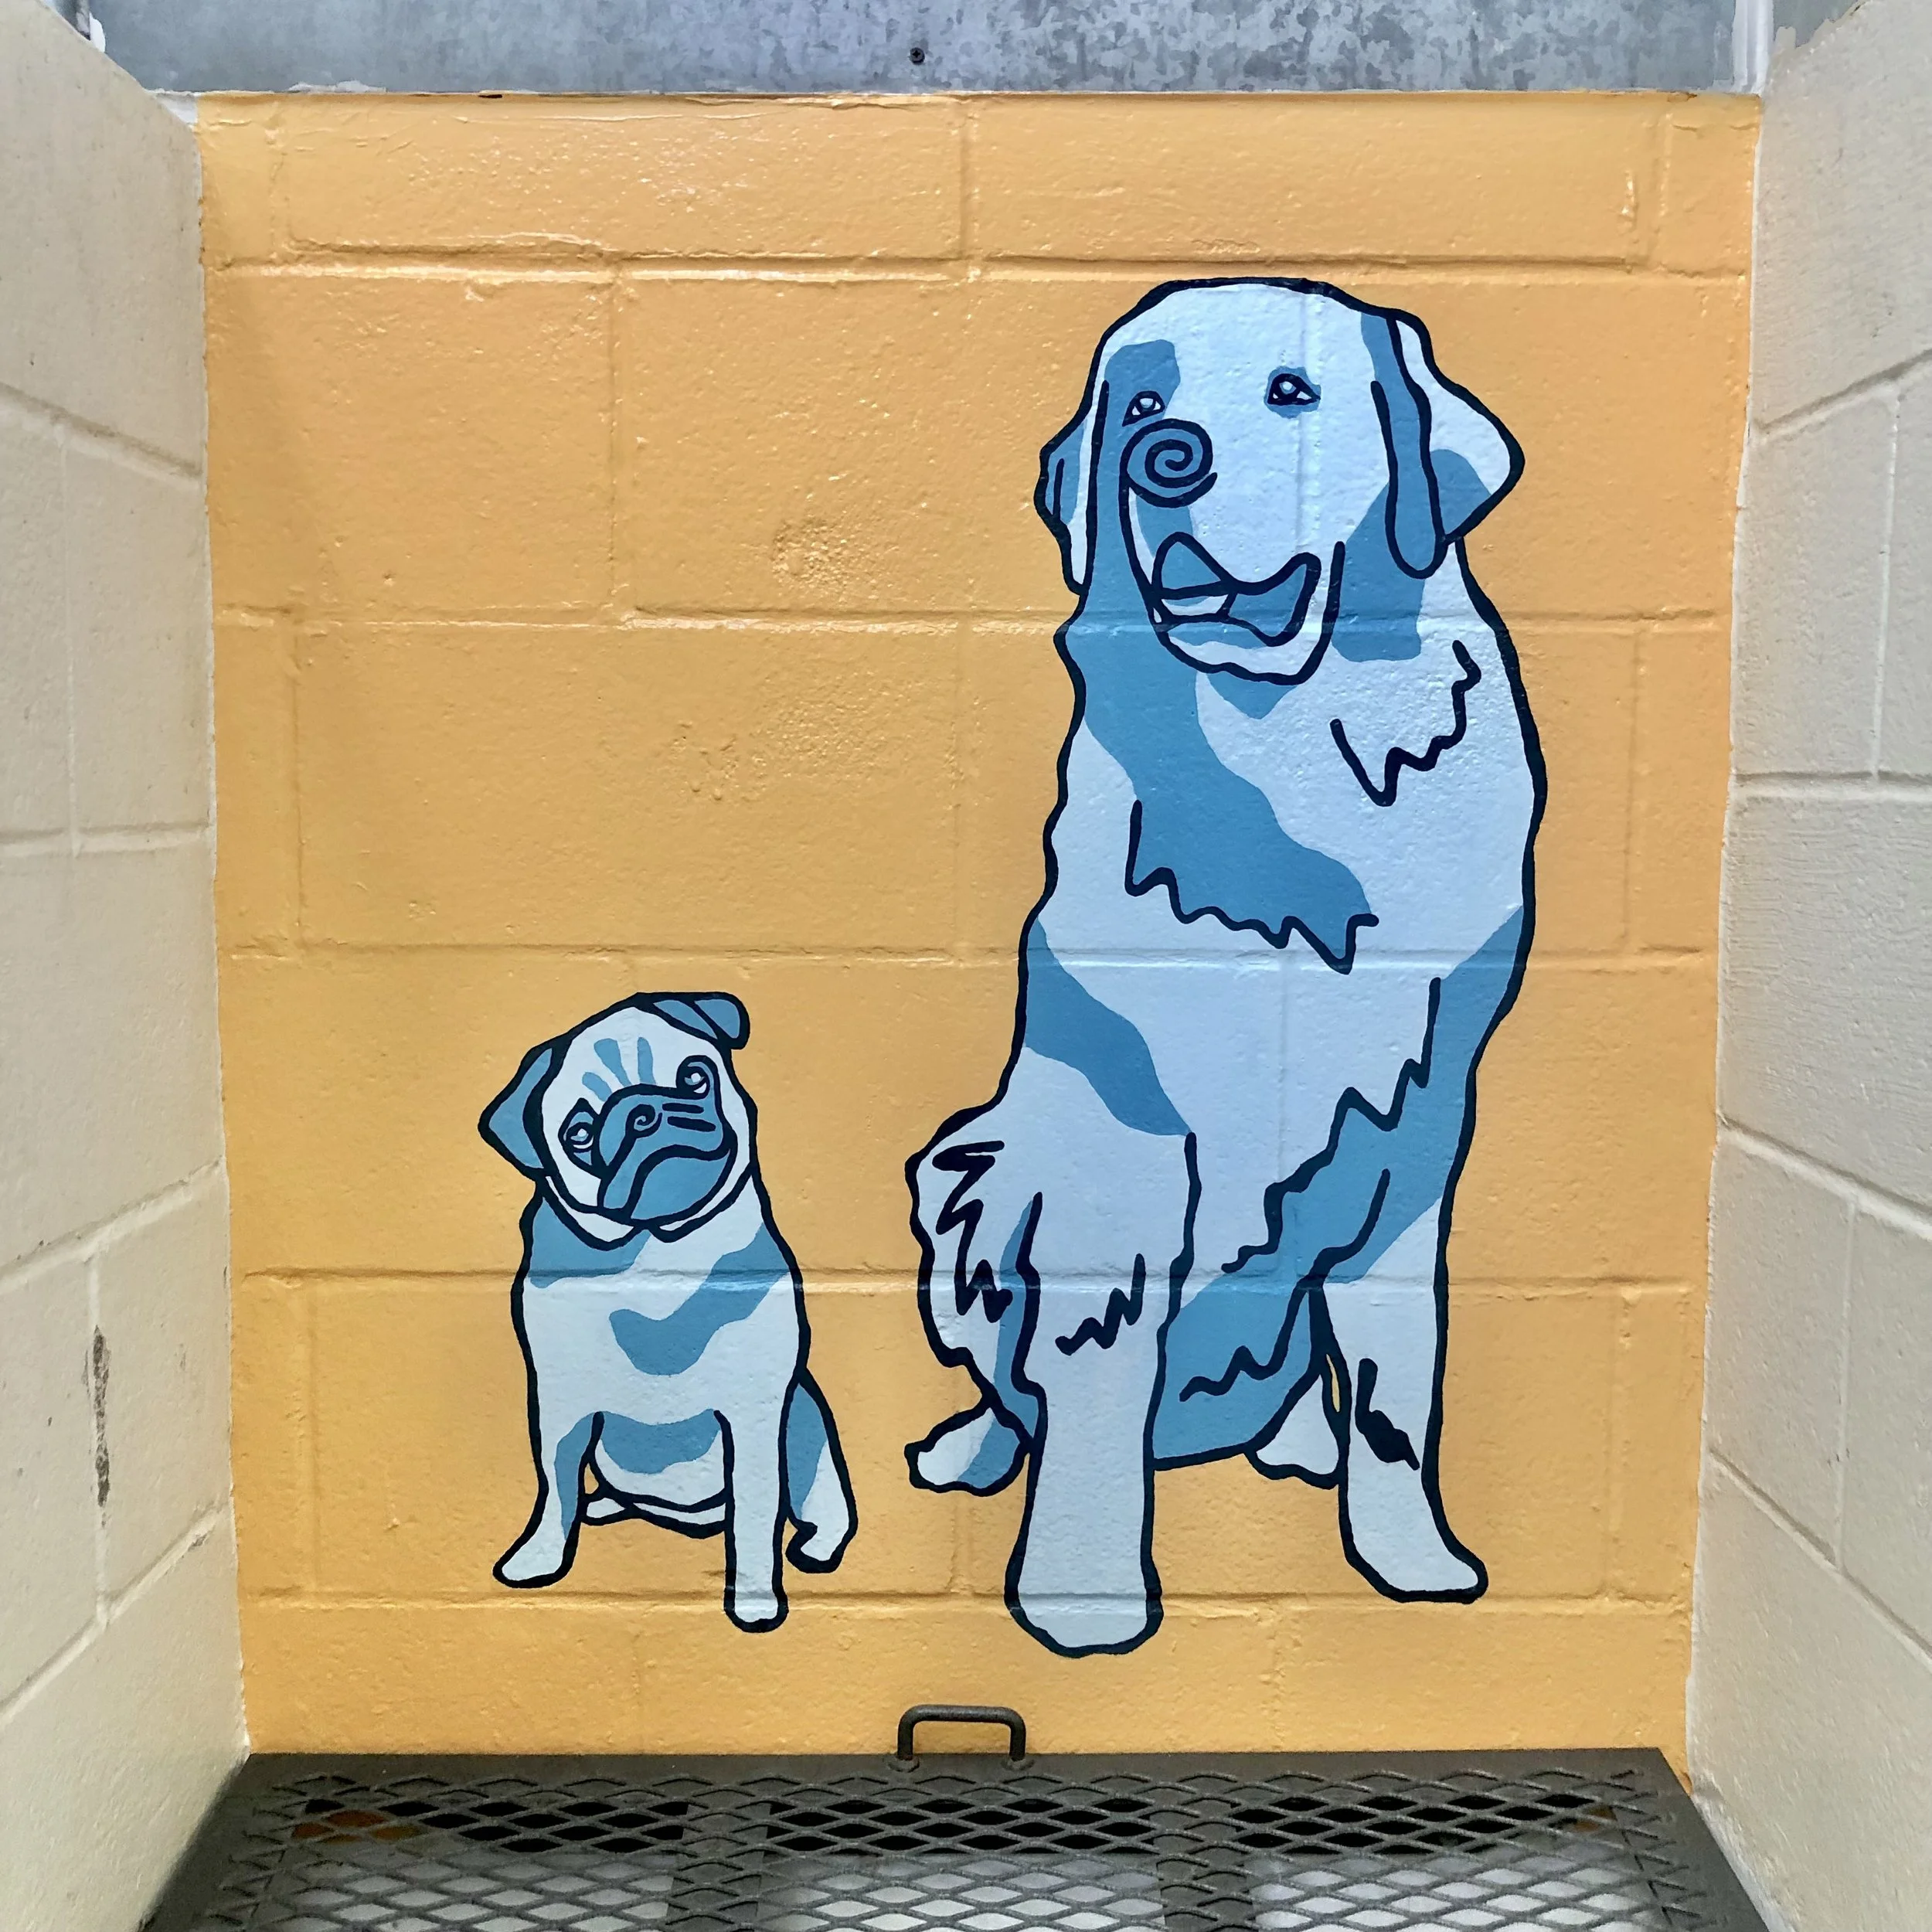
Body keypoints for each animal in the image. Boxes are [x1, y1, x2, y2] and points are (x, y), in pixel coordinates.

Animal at [481, 992, 856, 1630]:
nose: (645, 1112)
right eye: (580, 1133)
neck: (660, 1256)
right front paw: (539, 1558)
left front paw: (754, 1600)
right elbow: (555, 1486)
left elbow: (757, 1514)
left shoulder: (754, 1415)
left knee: (820, 1506)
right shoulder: (561, 1404)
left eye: (694, 1078)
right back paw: (603, 1505)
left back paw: (815, 1546)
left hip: (807, 1427)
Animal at [907, 280, 1542, 1656]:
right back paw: (972, 1454)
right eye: (1141, 397)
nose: (1165, 456)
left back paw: (1299, 1446)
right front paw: (1082, 1602)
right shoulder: (1122, 1138)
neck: (1290, 767)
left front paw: (1412, 1563)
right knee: (1015, 1391)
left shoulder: (1424, 1130)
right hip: (963, 1164)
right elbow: (1088, 1364)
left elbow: (1399, 1386)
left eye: (1291, 390)